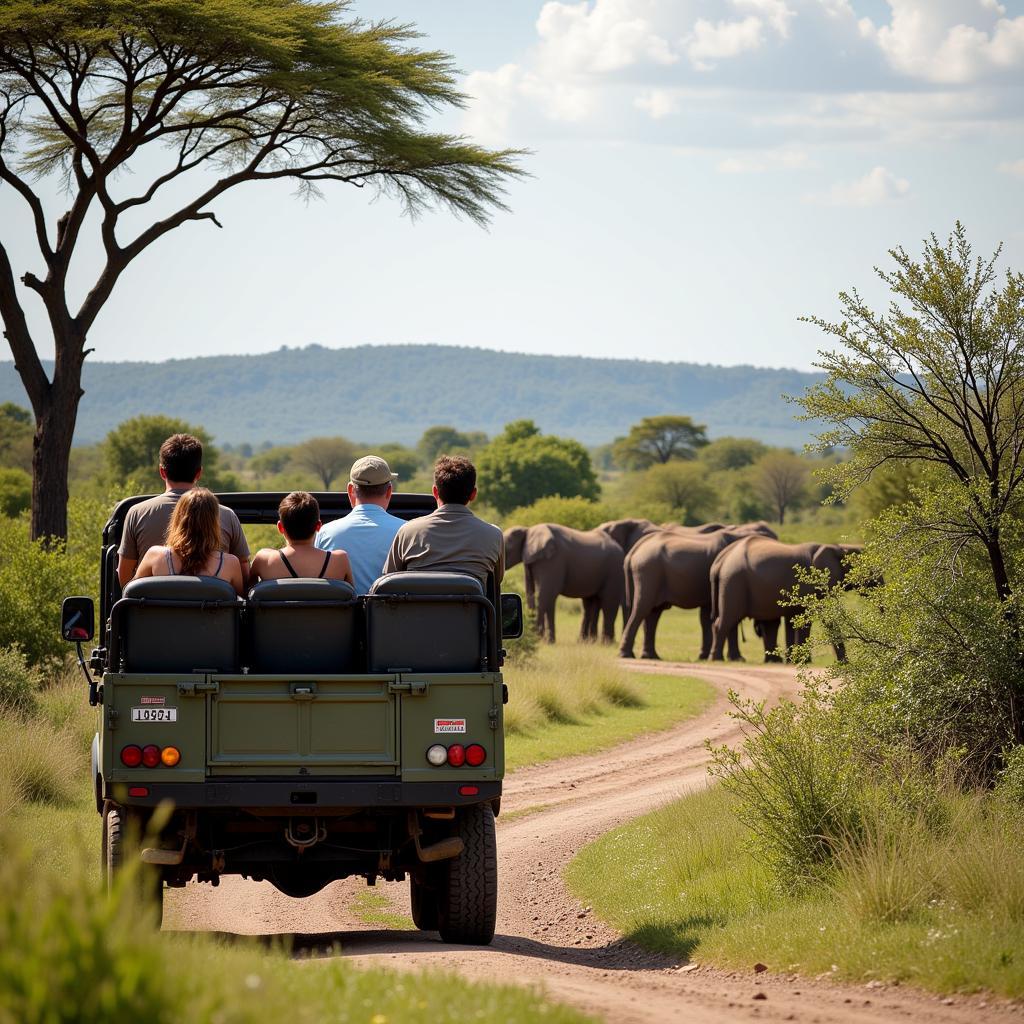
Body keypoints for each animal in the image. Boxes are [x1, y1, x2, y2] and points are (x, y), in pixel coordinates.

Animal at [614, 524, 745, 659]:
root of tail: (633, 551)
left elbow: (708, 616)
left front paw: (704, 656)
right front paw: (738, 659)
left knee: (653, 613)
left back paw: (651, 656)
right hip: (648, 572)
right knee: (642, 609)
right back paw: (627, 655)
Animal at [712, 536, 864, 663]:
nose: (845, 662)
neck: (838, 547)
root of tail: (720, 560)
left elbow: (794, 621)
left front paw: (795, 661)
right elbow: (815, 618)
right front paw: (806, 661)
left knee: (737, 622)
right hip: (734, 582)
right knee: (728, 620)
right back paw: (718, 659)